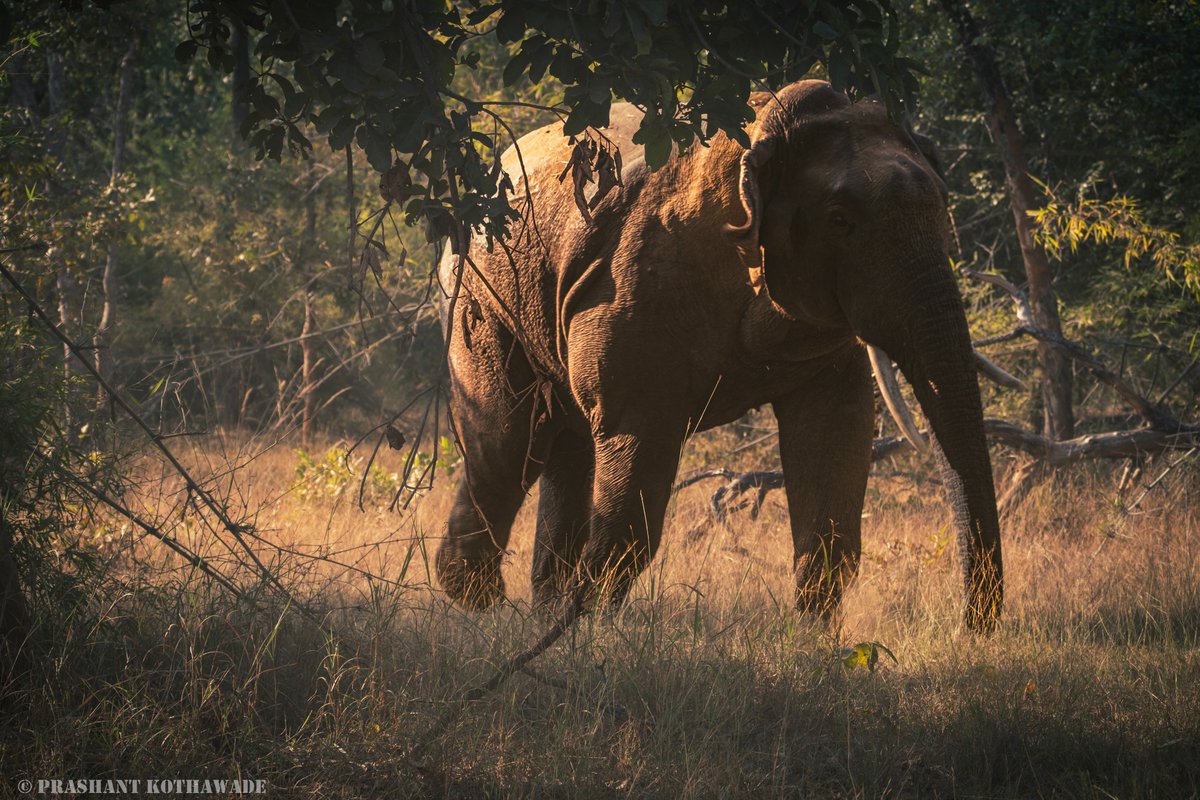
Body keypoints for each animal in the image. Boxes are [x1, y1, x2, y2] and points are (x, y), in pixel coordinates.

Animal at [434, 79, 1003, 632]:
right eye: (840, 220)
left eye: (942, 207)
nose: (972, 627)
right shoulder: (639, 286)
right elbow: (636, 447)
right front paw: (585, 636)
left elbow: (837, 431)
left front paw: (816, 645)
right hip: (479, 301)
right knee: (507, 443)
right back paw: (484, 610)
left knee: (561, 443)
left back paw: (536, 611)